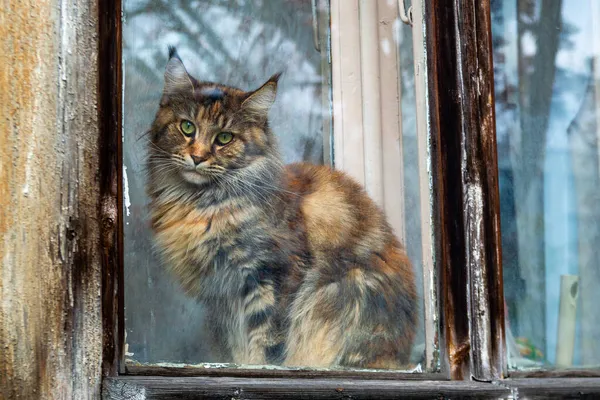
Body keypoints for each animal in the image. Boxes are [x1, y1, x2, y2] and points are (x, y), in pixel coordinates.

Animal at [146, 47, 418, 368]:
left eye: (224, 138)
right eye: (187, 127)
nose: (198, 157)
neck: (202, 204)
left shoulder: (271, 274)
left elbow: (266, 343)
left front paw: (259, 366)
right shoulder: (222, 300)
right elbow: (237, 349)